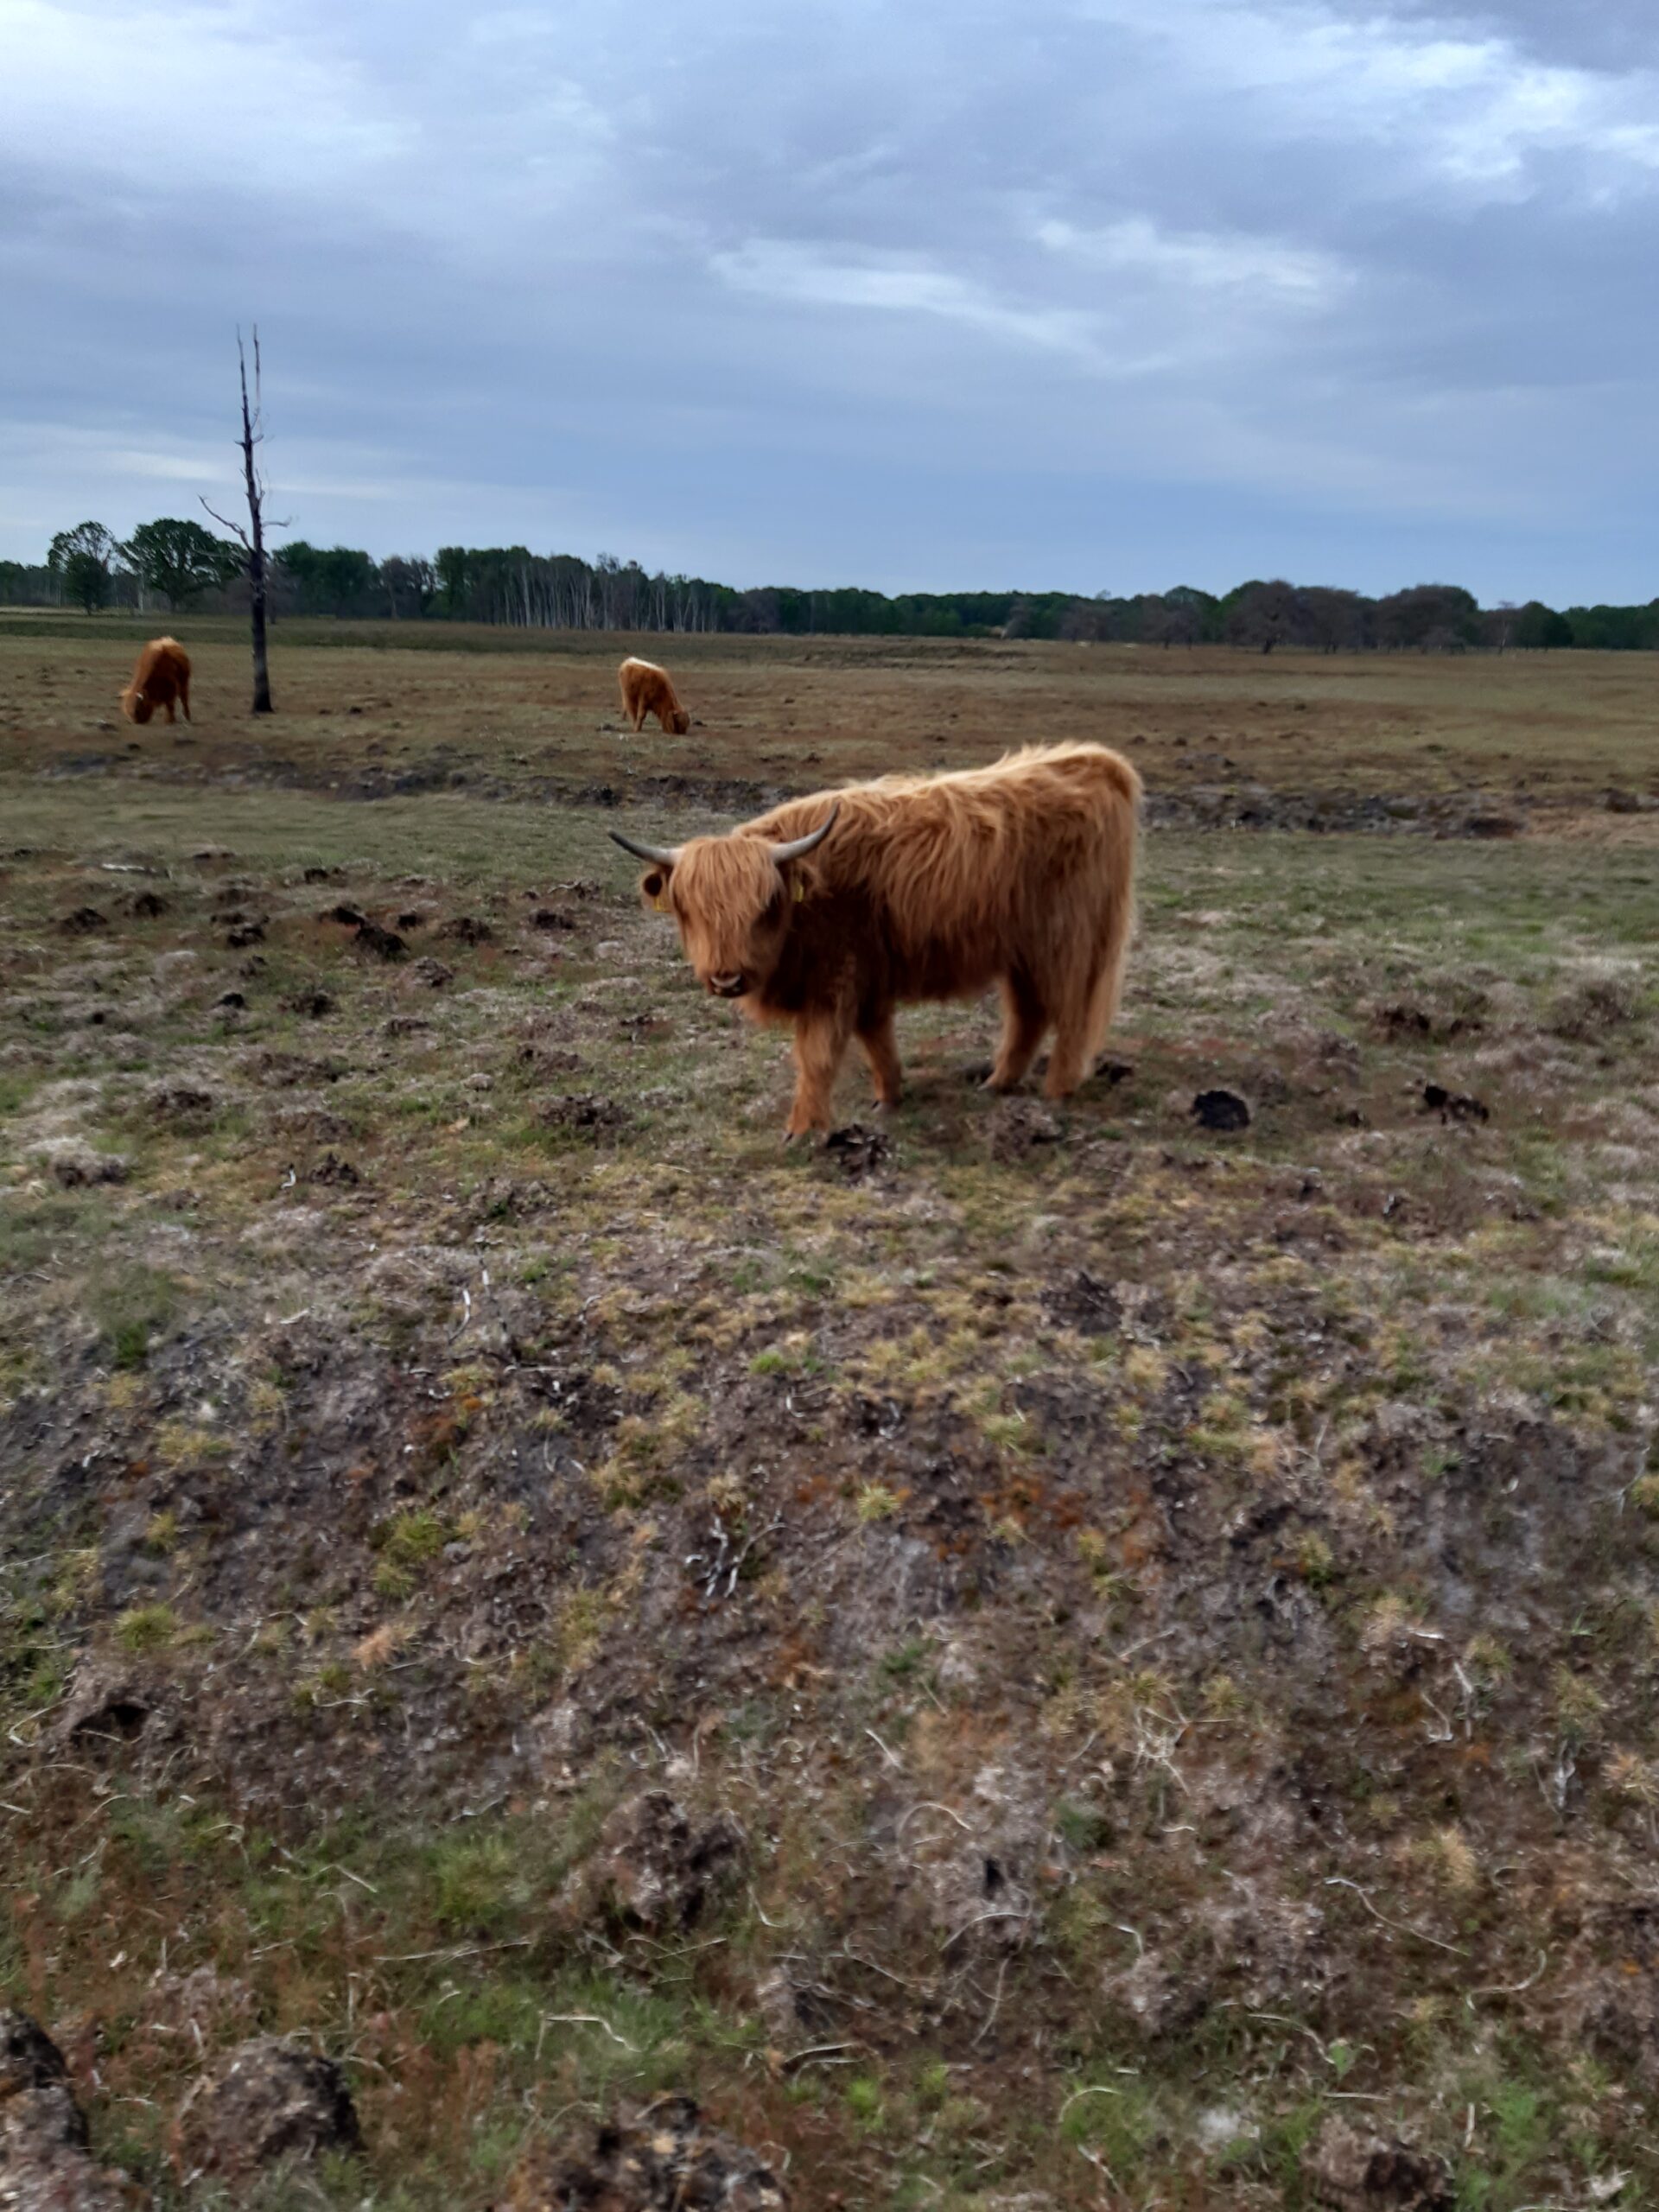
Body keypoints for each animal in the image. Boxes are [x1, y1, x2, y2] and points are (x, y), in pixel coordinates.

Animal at [610, 752, 1141, 1150]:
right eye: (688, 909)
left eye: (765, 906)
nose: (726, 978)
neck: (810, 897)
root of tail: (1094, 762)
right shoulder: (865, 975)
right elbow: (877, 1039)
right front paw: (889, 1099)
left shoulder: (835, 980)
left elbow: (818, 1054)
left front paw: (802, 1130)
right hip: (1022, 953)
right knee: (1029, 1013)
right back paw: (998, 1083)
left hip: (1066, 943)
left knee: (1069, 1014)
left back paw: (1057, 1091)